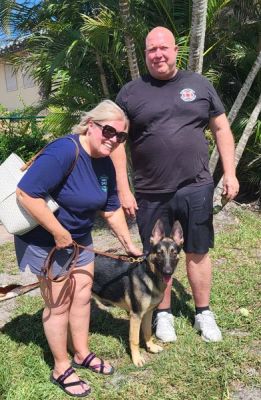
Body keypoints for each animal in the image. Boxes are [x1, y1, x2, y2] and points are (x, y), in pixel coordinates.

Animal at [92, 220, 183, 368]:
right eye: (159, 253)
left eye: (174, 253)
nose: (168, 272)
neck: (150, 275)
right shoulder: (136, 315)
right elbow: (134, 339)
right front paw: (137, 359)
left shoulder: (148, 312)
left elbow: (147, 331)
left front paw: (151, 347)